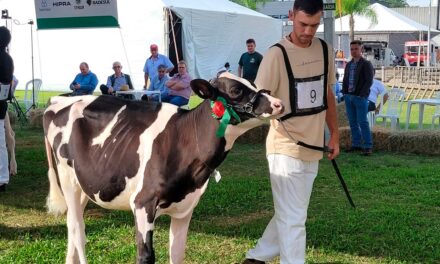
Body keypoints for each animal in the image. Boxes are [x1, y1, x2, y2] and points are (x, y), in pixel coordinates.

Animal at [44, 72, 284, 264]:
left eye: (253, 82)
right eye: (236, 90)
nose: (278, 103)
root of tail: (58, 101)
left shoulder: (186, 207)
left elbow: (177, 254)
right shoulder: (143, 203)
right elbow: (146, 256)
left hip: (84, 184)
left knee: (71, 225)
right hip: (67, 178)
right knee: (78, 231)